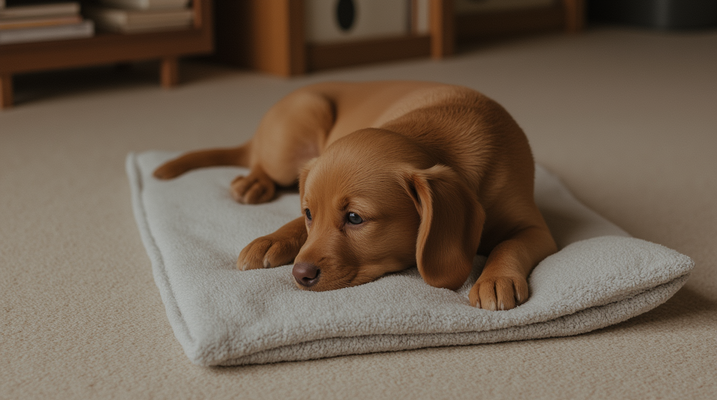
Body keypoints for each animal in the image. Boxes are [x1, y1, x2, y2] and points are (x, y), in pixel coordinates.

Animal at [154, 81, 556, 310]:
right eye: (309, 213)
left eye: (354, 218)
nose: (299, 274)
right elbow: (291, 223)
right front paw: (272, 239)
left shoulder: (537, 230)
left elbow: (510, 245)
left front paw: (494, 278)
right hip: (301, 122)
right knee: (260, 162)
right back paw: (253, 182)